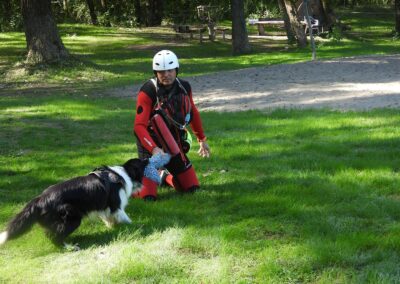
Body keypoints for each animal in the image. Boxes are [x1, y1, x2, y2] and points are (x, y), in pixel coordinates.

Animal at [0, 158, 147, 248]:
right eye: (140, 162)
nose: (147, 158)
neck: (122, 175)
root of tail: (39, 199)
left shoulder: (105, 208)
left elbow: (109, 219)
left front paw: (112, 227)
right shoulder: (116, 205)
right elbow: (125, 217)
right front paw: (136, 226)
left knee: (50, 234)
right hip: (71, 218)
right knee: (55, 236)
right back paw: (69, 247)